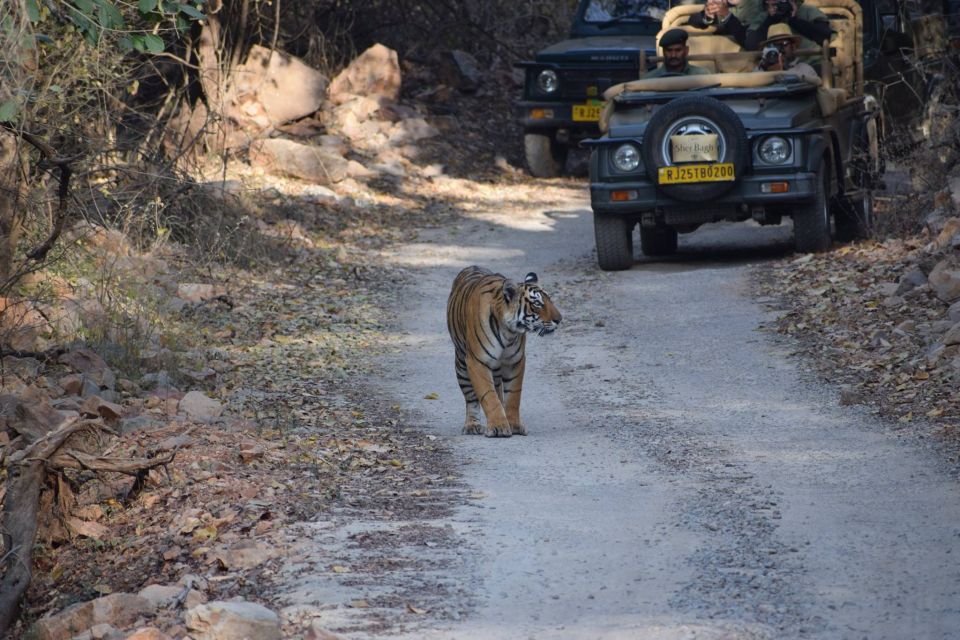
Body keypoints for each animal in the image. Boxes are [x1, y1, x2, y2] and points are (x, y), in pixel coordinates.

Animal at [444, 264, 560, 436]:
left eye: (550, 300)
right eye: (537, 304)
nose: (559, 319)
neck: (508, 331)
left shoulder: (514, 361)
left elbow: (513, 396)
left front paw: (514, 424)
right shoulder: (477, 362)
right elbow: (489, 396)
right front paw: (499, 426)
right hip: (461, 364)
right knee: (471, 398)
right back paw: (472, 425)